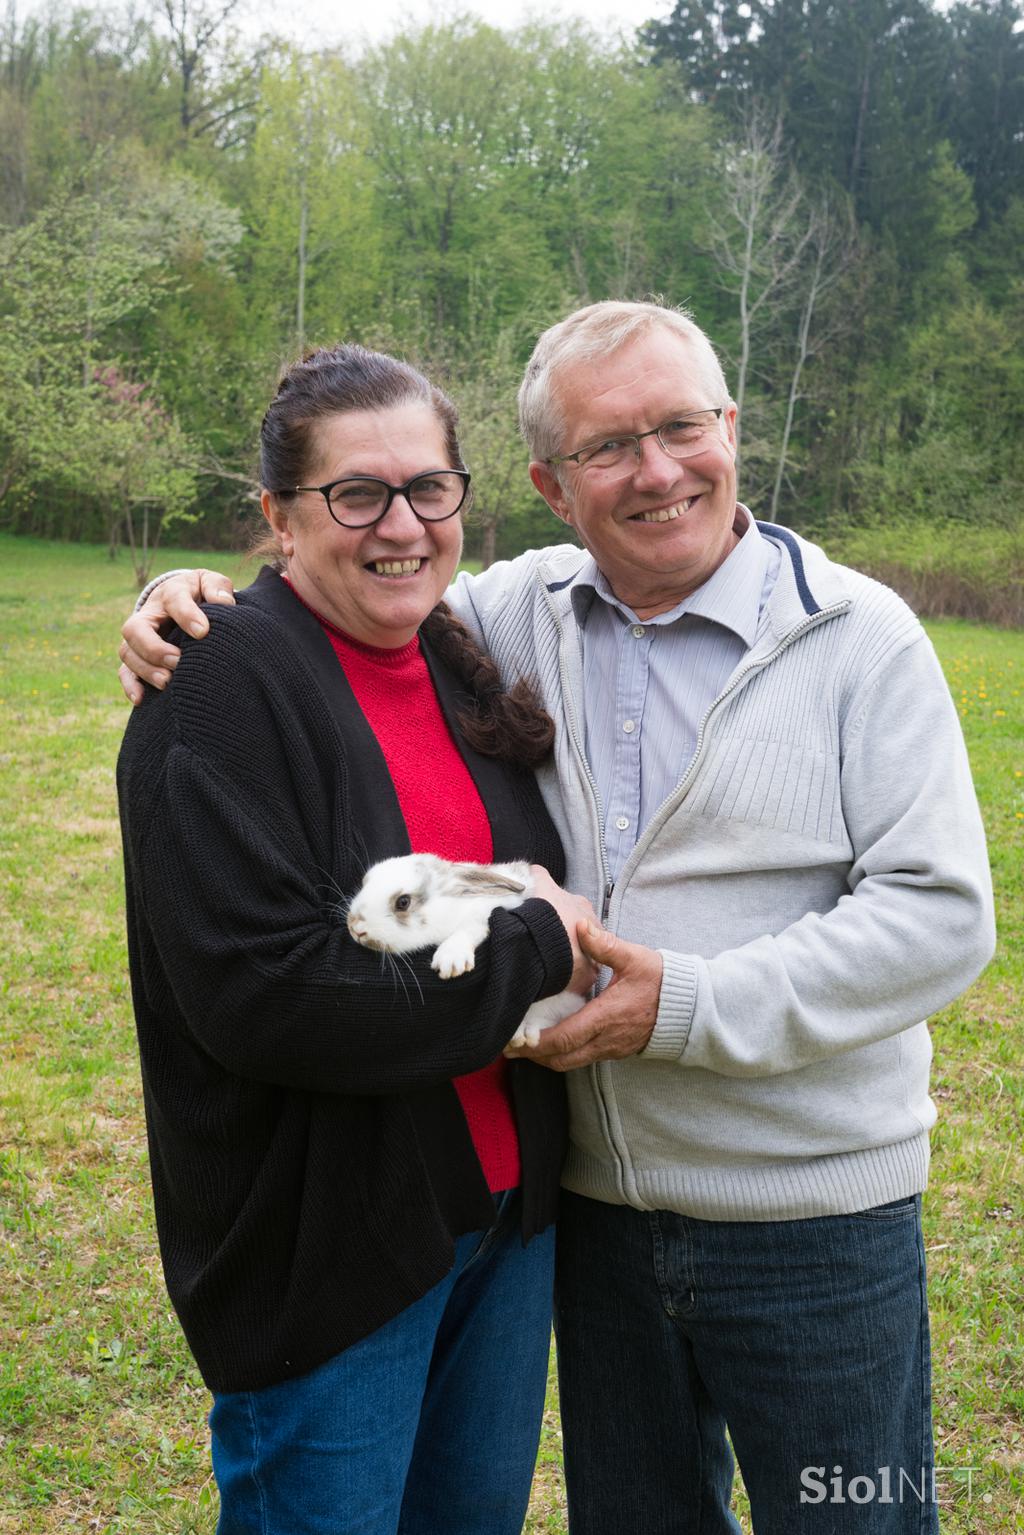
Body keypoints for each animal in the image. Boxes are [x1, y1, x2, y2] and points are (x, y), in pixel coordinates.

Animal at [346, 859, 580, 1049]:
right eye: (365, 882)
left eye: (403, 902)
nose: (355, 927)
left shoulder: (486, 912)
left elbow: (471, 928)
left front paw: (450, 960)